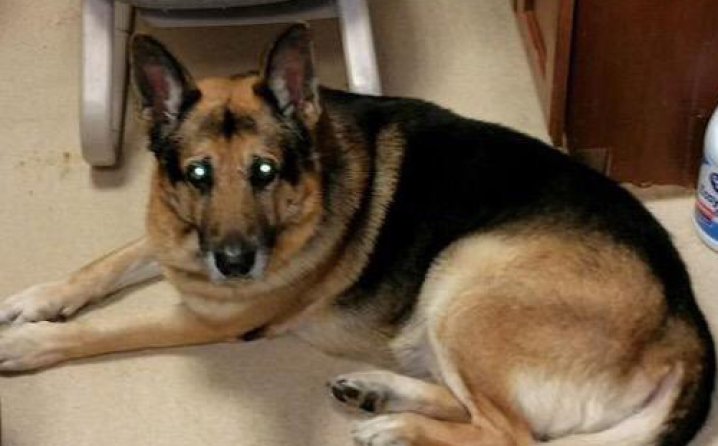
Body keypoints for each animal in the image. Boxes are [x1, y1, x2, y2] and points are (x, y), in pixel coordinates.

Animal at [0, 23, 713, 446]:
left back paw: (397, 426)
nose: (235, 263)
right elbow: (105, 263)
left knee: (510, 436)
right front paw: (40, 298)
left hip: (467, 273)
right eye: (199, 174)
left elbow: (104, 331)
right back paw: (381, 393)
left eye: (265, 171)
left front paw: (31, 344)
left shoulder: (210, 318)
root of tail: (685, 325)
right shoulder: (177, 237)